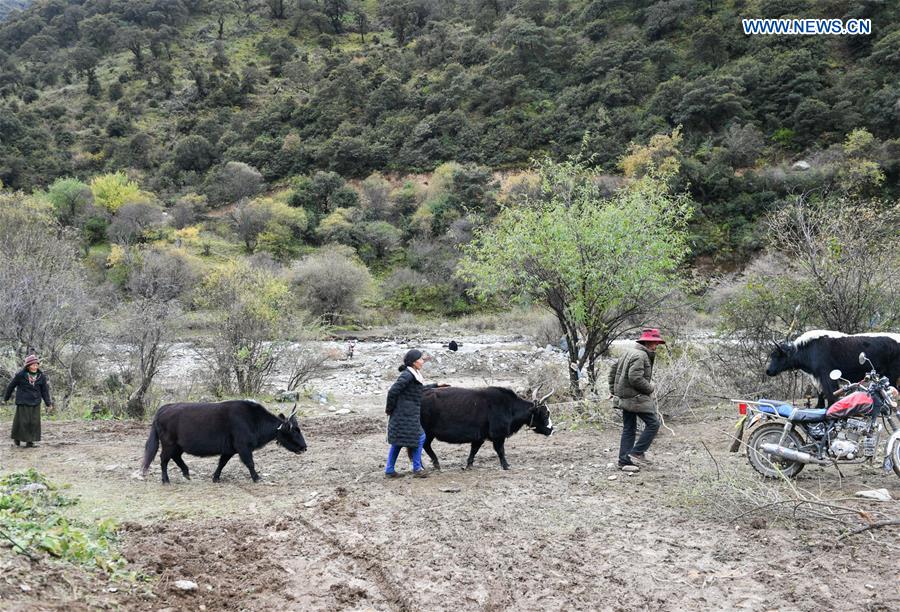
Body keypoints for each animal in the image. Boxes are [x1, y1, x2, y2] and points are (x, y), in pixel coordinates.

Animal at [141, 400, 308, 486]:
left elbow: (222, 463)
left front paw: (215, 478)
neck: (253, 420)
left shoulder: (229, 450)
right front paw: (257, 478)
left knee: (175, 457)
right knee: (164, 459)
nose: (305, 447)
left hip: (177, 446)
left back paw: (187, 474)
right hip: (169, 444)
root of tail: (162, 409)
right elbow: (250, 463)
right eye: (294, 430)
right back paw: (166, 480)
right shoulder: (243, 447)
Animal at [422, 384, 556, 470]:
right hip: (427, 432)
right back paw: (434, 464)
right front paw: (506, 466)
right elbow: (500, 450)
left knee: (425, 446)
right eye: (545, 413)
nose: (552, 430)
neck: (509, 407)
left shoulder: (479, 437)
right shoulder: (498, 436)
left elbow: (474, 450)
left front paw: (469, 465)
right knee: (423, 446)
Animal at [768, 330, 900, 406]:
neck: (808, 349)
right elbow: (821, 393)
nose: (768, 371)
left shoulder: (827, 376)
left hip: (892, 374)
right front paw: (819, 407)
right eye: (771, 355)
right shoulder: (818, 377)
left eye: (778, 355)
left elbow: (831, 394)